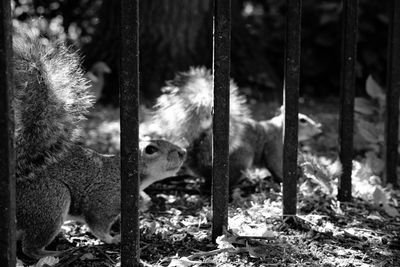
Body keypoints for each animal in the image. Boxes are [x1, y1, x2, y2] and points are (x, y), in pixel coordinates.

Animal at [13, 30, 186, 260]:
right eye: (151, 150)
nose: (183, 152)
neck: (129, 175)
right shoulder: (103, 199)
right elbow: (98, 224)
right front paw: (113, 239)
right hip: (49, 200)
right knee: (29, 247)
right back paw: (53, 252)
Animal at [141, 66, 322, 188]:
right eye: (303, 120)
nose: (319, 131)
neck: (279, 128)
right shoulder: (274, 145)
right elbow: (275, 164)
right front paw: (288, 179)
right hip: (243, 158)